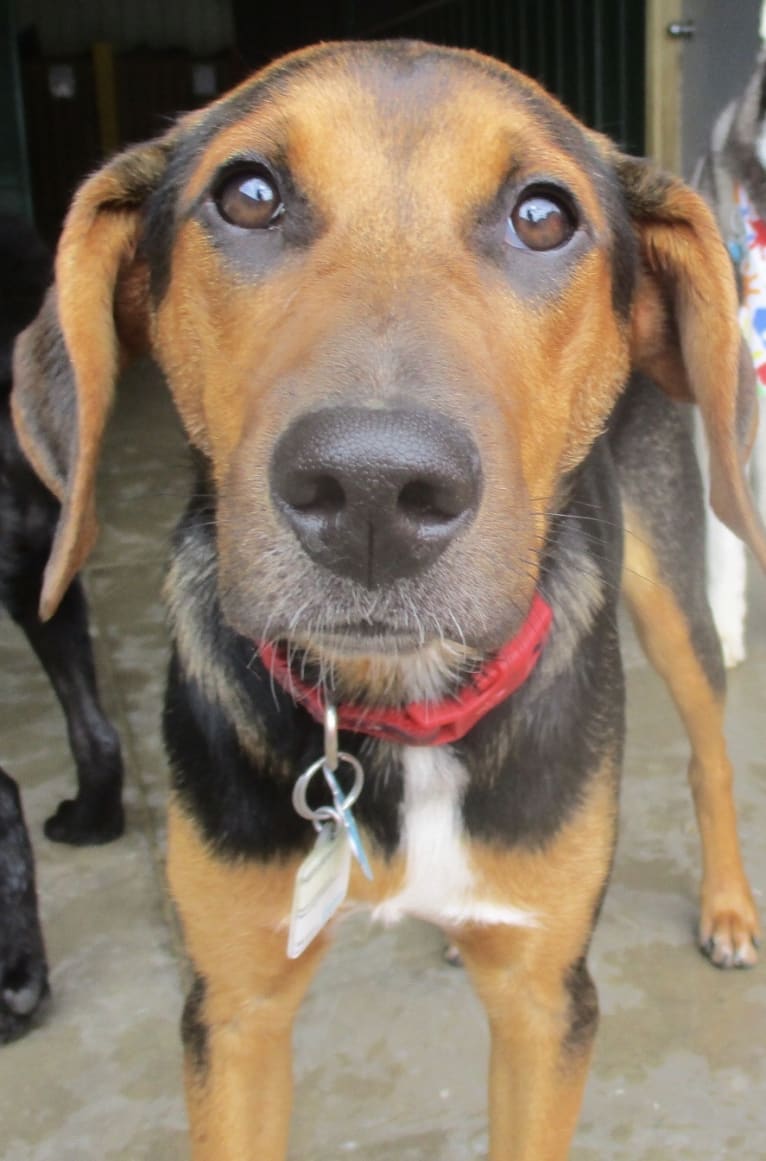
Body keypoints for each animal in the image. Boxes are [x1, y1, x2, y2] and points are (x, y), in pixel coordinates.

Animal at [8, 36, 766, 1161]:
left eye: (544, 215)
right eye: (247, 194)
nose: (372, 491)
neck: (396, 715)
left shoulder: (547, 1004)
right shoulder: (233, 1008)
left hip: (671, 591)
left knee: (710, 751)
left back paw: (727, 908)